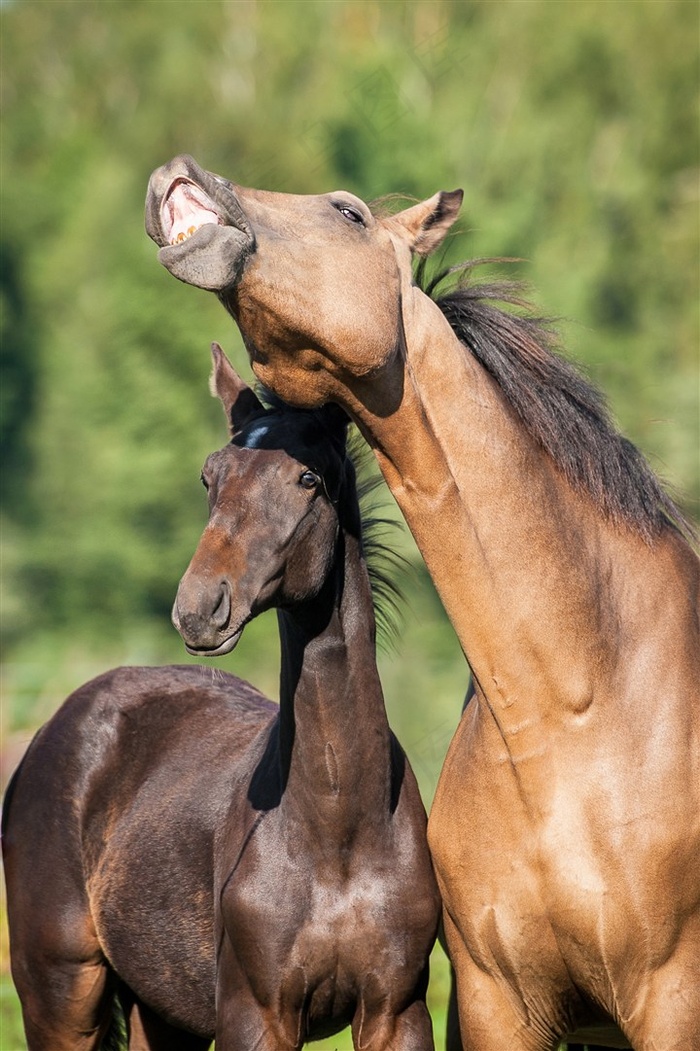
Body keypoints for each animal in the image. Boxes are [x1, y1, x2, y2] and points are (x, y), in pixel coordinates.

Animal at [2, 344, 439, 1051]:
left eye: (308, 478)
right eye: (210, 476)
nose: (200, 609)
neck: (339, 832)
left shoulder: (397, 1011)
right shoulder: (255, 1015)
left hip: (163, 1008)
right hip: (60, 988)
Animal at [143, 157, 693, 1051]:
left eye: (349, 212)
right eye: (207, 479)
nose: (177, 174)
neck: (574, 706)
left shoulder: (672, 996)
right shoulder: (498, 1000)